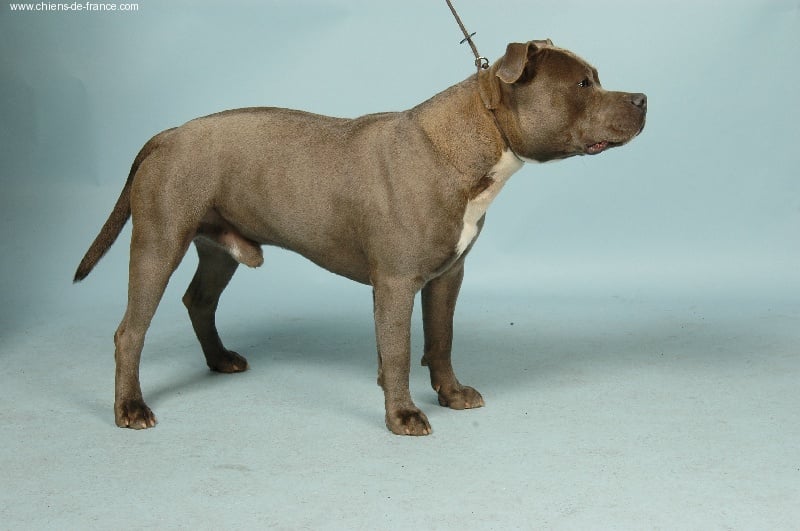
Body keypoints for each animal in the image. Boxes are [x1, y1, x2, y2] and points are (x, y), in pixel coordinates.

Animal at [75, 39, 646, 435]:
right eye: (583, 86)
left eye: (597, 79)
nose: (641, 98)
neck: (468, 141)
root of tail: (167, 134)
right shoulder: (395, 283)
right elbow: (398, 349)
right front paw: (403, 414)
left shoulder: (447, 277)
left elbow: (440, 340)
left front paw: (450, 393)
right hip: (158, 244)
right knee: (131, 331)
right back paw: (130, 407)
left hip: (219, 248)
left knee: (199, 300)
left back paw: (219, 360)